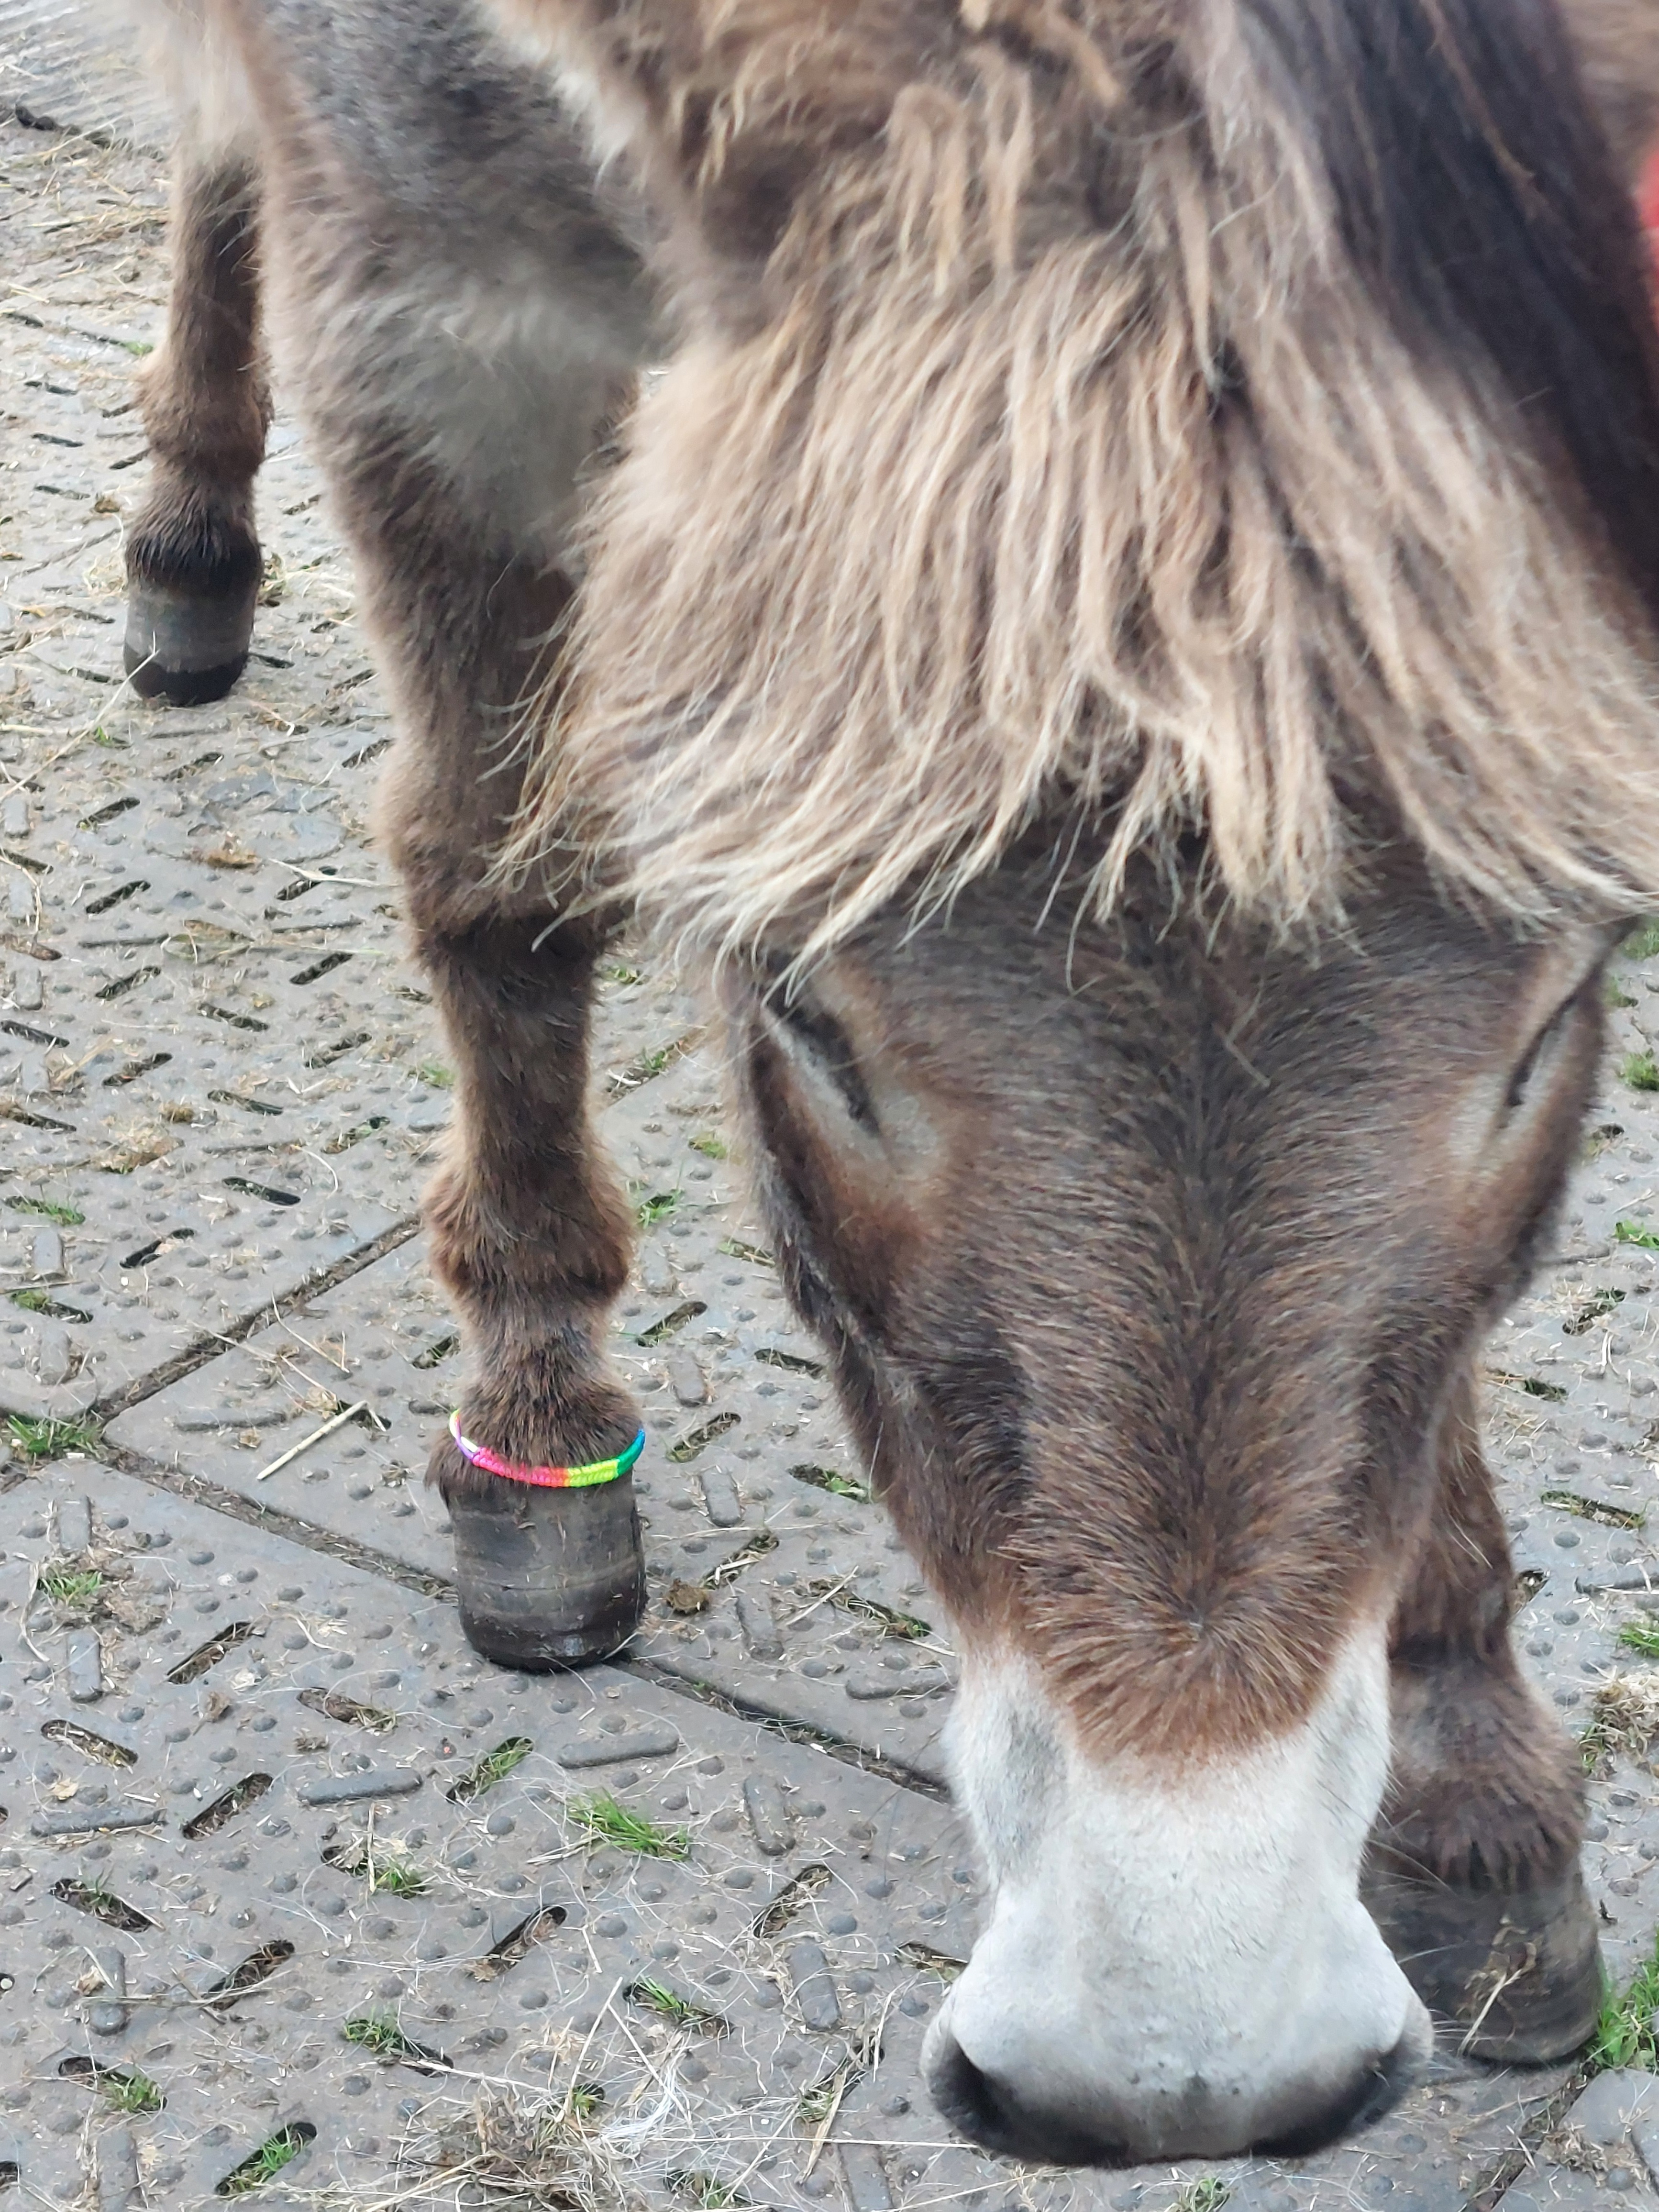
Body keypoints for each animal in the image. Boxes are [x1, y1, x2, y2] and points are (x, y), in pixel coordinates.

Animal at [121, 0, 1659, 2168]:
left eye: (1553, 1022)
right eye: (801, 1012)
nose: (1187, 2049)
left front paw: (1464, 1778)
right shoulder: (425, 311)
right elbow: (504, 877)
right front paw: (537, 1395)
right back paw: (186, 544)